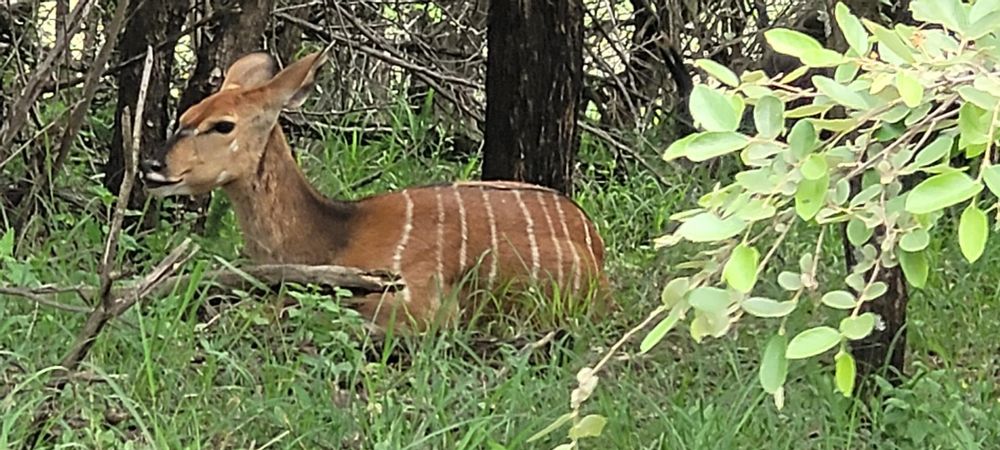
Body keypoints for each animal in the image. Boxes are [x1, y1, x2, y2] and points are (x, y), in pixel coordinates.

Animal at [139, 47, 608, 332]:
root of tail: (594, 243)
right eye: (186, 113)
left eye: (223, 125)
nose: (152, 167)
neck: (334, 236)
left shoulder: (419, 302)